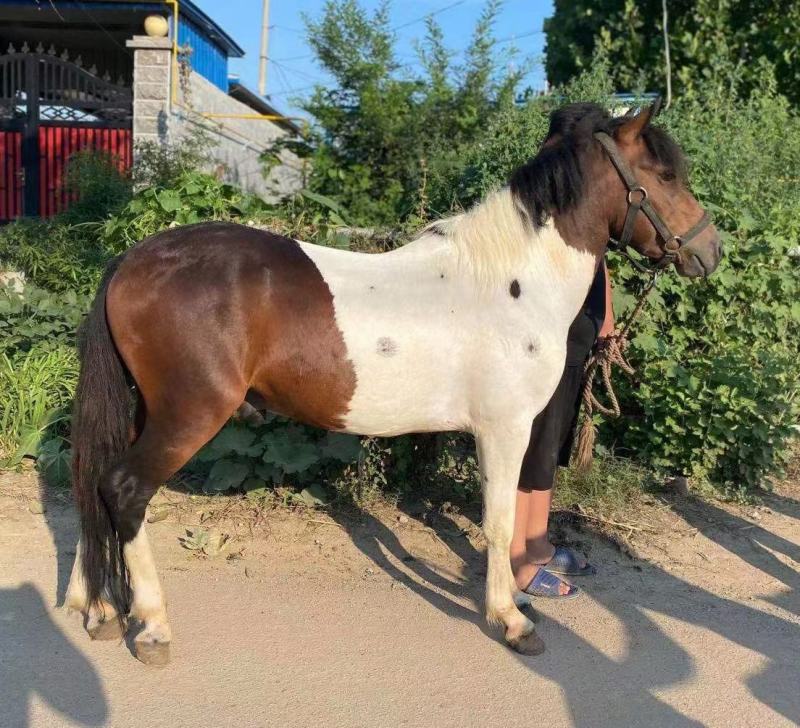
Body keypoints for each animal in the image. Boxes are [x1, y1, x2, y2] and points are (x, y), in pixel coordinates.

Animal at [65, 102, 722, 665]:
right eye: (664, 173)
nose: (709, 250)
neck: (510, 281)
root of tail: (132, 260)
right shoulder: (504, 428)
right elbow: (499, 520)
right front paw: (510, 619)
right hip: (189, 415)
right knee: (124, 489)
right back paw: (152, 626)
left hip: (145, 411)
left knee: (96, 482)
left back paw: (96, 608)